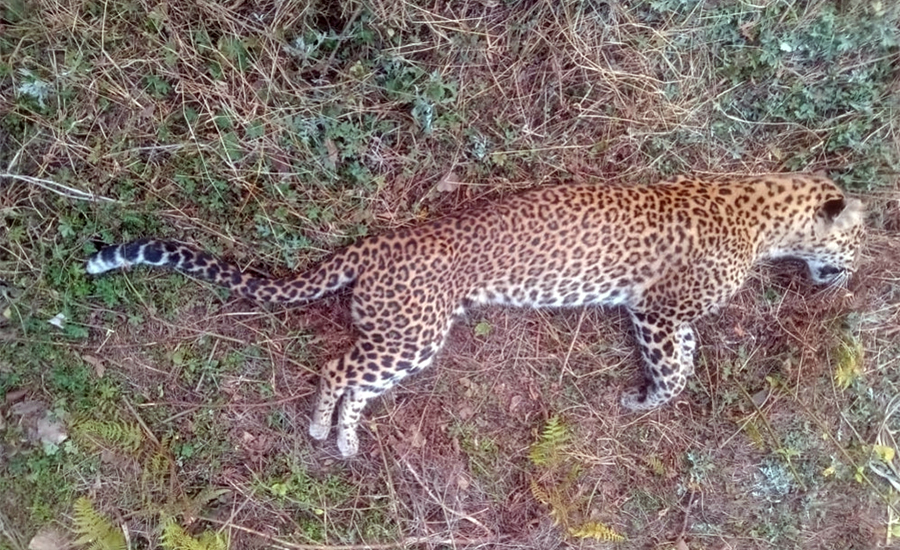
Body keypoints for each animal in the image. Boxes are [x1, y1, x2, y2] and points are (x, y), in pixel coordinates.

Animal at [85, 173, 864, 458]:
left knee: (348, 369)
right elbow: (679, 369)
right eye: (858, 241)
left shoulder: (661, 314)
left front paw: (645, 398)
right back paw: (328, 434)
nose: (850, 275)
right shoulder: (659, 311)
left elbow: (688, 360)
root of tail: (383, 238)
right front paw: (645, 400)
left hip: (398, 332)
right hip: (414, 334)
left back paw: (339, 434)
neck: (767, 215)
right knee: (339, 366)